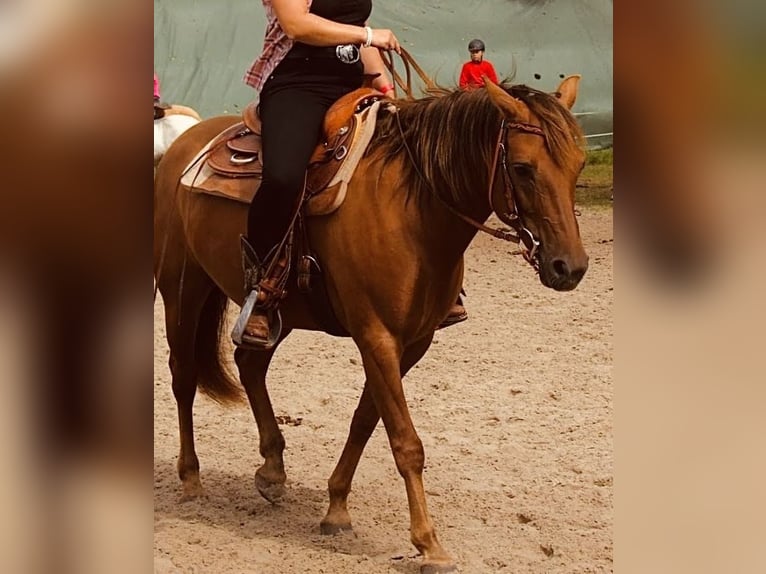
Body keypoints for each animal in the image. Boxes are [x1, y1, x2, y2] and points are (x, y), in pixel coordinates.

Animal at [154, 77, 588, 573]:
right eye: (522, 168)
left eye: (578, 165)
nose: (570, 267)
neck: (414, 212)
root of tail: (185, 141)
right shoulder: (376, 337)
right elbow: (405, 441)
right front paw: (428, 543)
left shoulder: (411, 343)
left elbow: (365, 420)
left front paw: (336, 507)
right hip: (182, 288)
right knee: (184, 378)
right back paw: (191, 478)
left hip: (275, 312)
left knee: (250, 362)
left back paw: (272, 470)